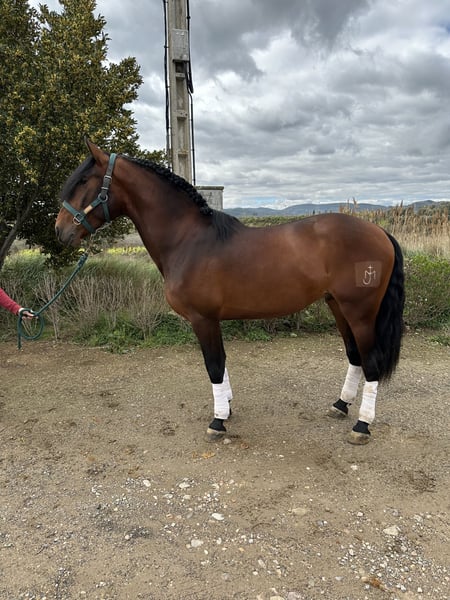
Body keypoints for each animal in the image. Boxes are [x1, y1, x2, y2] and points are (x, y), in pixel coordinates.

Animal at [55, 140, 405, 445]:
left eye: (84, 180)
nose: (61, 231)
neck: (188, 240)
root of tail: (379, 231)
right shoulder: (211, 320)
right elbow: (221, 365)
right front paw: (228, 408)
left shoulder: (203, 319)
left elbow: (213, 365)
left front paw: (218, 421)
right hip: (337, 306)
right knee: (355, 356)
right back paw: (340, 405)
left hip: (360, 312)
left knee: (371, 362)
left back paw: (362, 426)